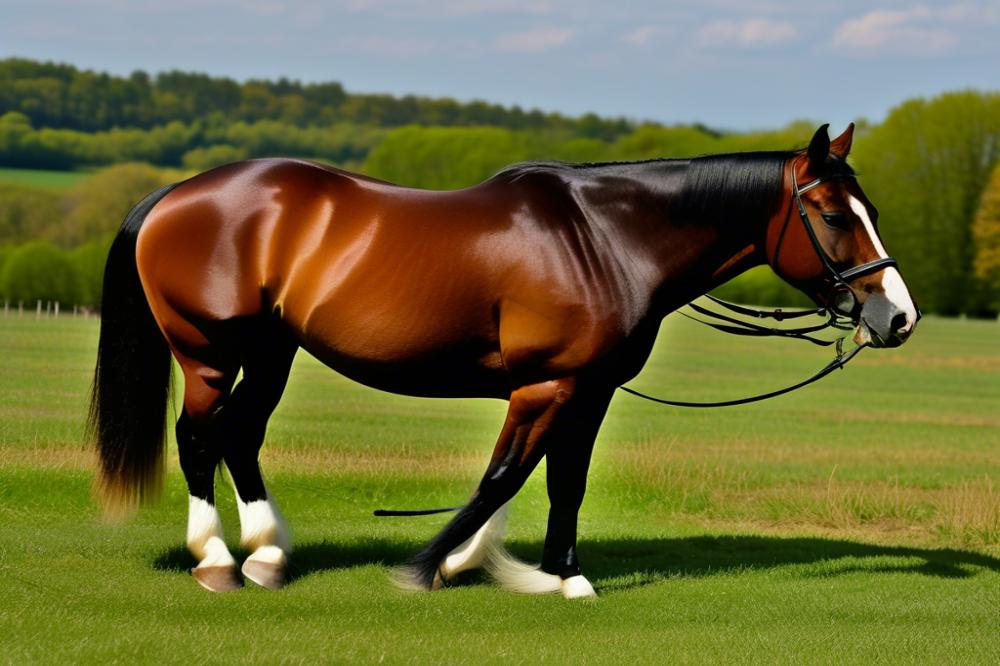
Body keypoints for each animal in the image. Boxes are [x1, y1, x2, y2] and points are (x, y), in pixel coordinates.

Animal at [90, 123, 916, 596]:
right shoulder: (548, 385)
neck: (603, 237)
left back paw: (265, 554)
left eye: (871, 210)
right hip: (207, 355)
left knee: (240, 436)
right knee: (199, 438)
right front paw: (433, 565)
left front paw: (544, 571)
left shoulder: (583, 390)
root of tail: (173, 196)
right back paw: (216, 559)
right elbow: (504, 476)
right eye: (833, 215)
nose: (897, 316)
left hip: (272, 352)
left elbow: (556, 480)